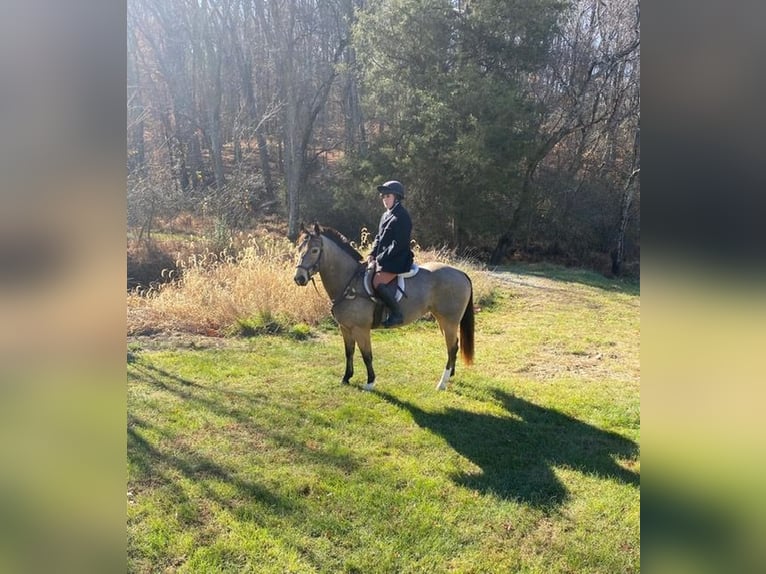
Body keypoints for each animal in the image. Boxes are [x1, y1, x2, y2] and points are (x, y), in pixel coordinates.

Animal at [294, 224, 474, 392]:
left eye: (315, 250)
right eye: (298, 248)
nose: (299, 278)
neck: (350, 282)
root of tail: (461, 273)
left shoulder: (360, 329)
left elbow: (367, 355)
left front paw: (370, 382)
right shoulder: (345, 328)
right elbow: (349, 352)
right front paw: (346, 378)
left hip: (449, 322)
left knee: (452, 347)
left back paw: (442, 383)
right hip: (442, 320)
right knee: (453, 346)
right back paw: (450, 375)